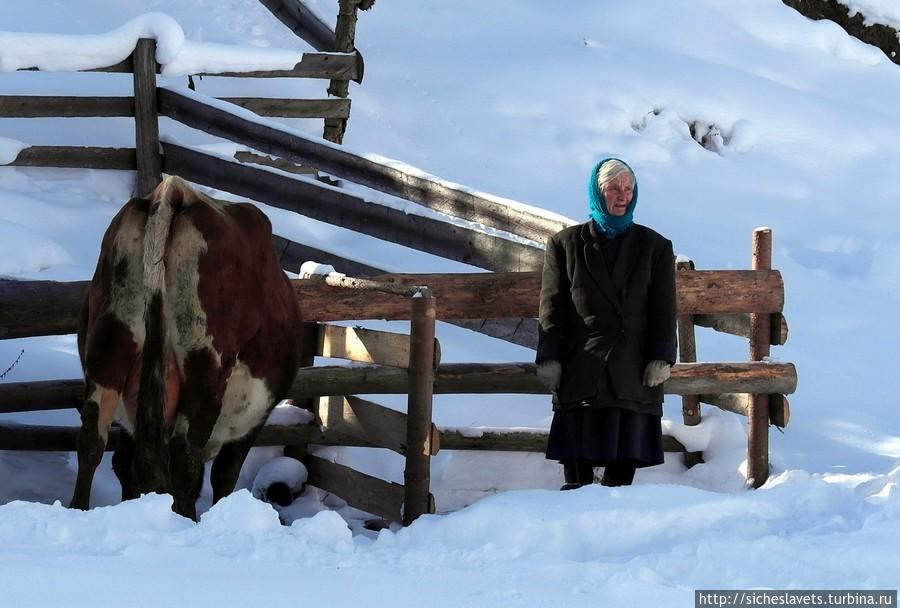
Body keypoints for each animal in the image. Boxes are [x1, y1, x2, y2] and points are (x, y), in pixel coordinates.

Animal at [70, 175, 302, 516]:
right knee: (184, 457)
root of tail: (177, 191)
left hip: (110, 346)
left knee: (92, 440)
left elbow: (123, 463)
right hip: (205, 365)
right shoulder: (250, 422)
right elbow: (225, 475)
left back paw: (79, 509)